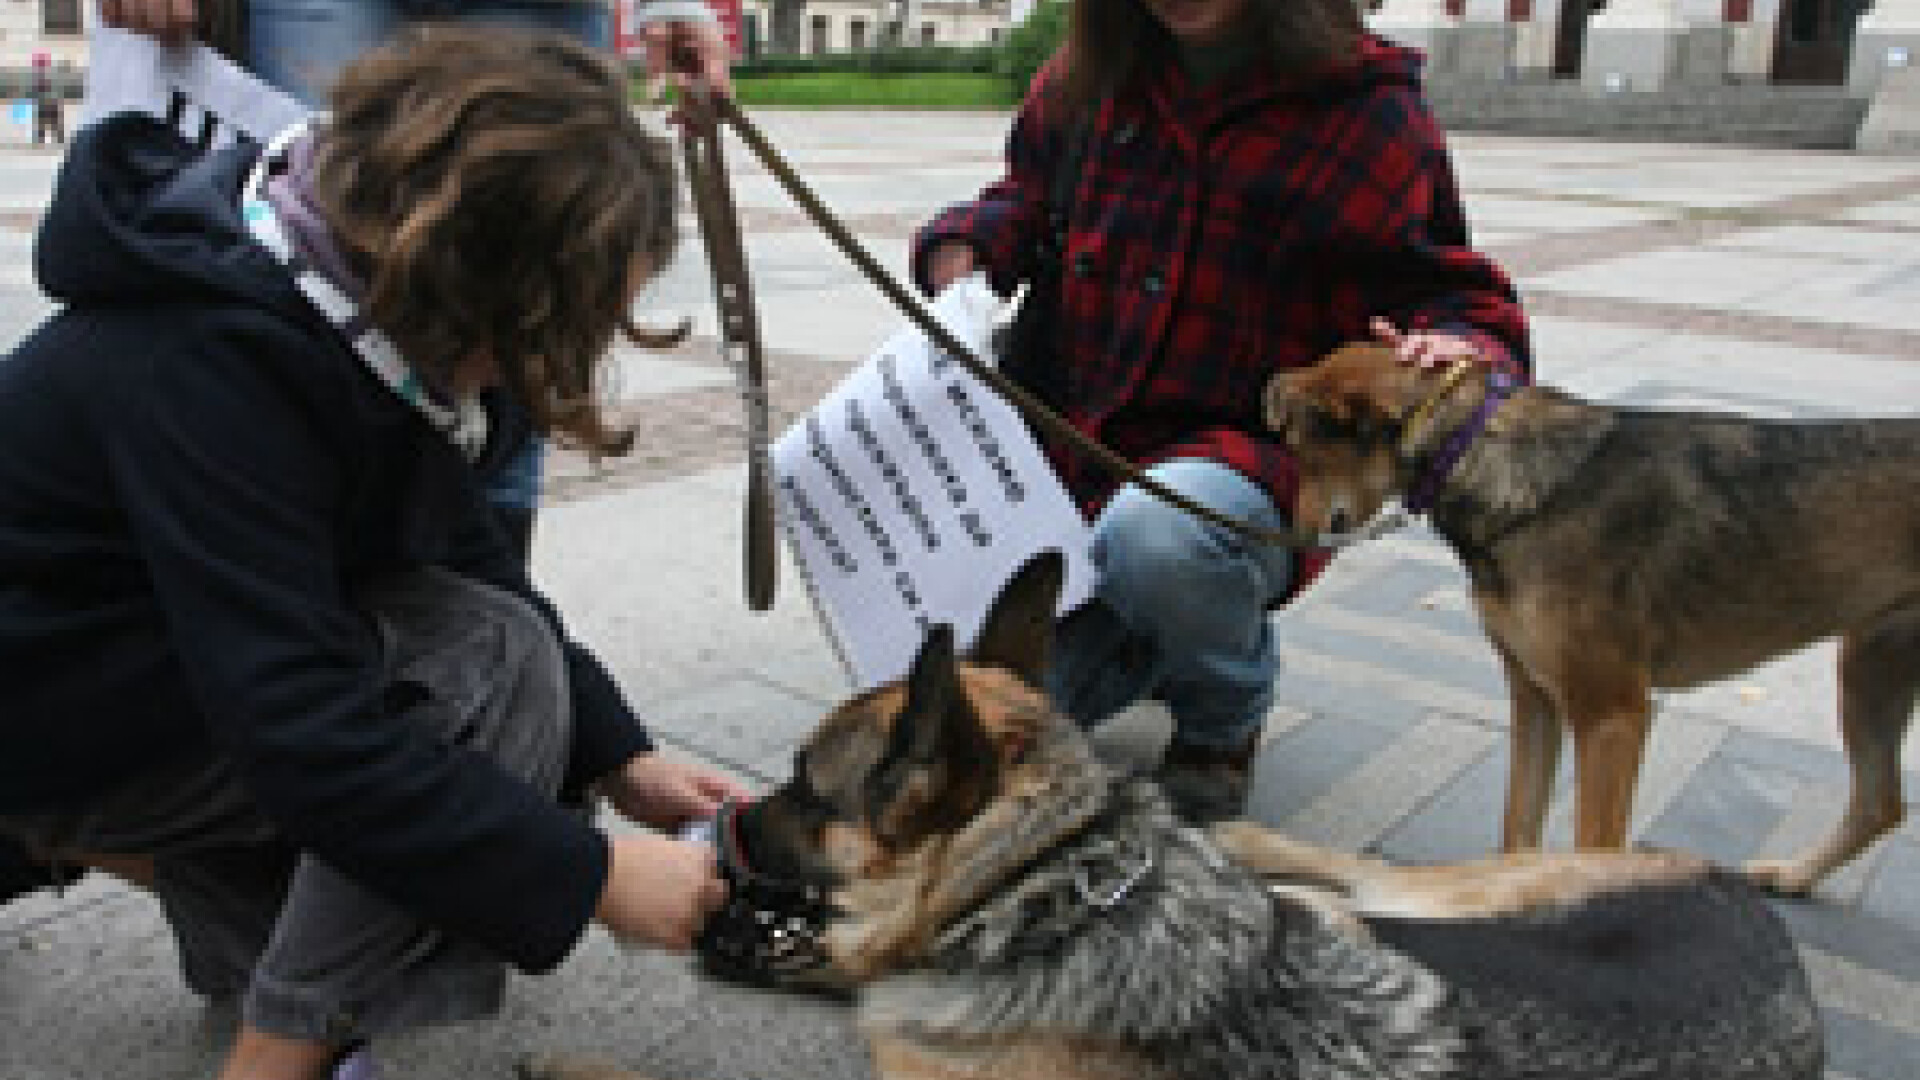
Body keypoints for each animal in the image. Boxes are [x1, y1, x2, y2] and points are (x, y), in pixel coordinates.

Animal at [533, 549, 1820, 1076]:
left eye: (806, 786)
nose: (724, 829)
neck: (1048, 894)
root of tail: (1762, 919)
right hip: (1422, 908)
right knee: (1340, 880)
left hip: (1456, 901)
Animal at [1259, 342, 1920, 891]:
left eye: (1298, 450)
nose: (1284, 538)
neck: (1472, 450)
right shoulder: (1534, 698)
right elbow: (1516, 834)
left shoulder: (1611, 717)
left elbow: (1592, 849)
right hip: (1870, 670)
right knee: (1880, 803)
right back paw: (1795, 876)